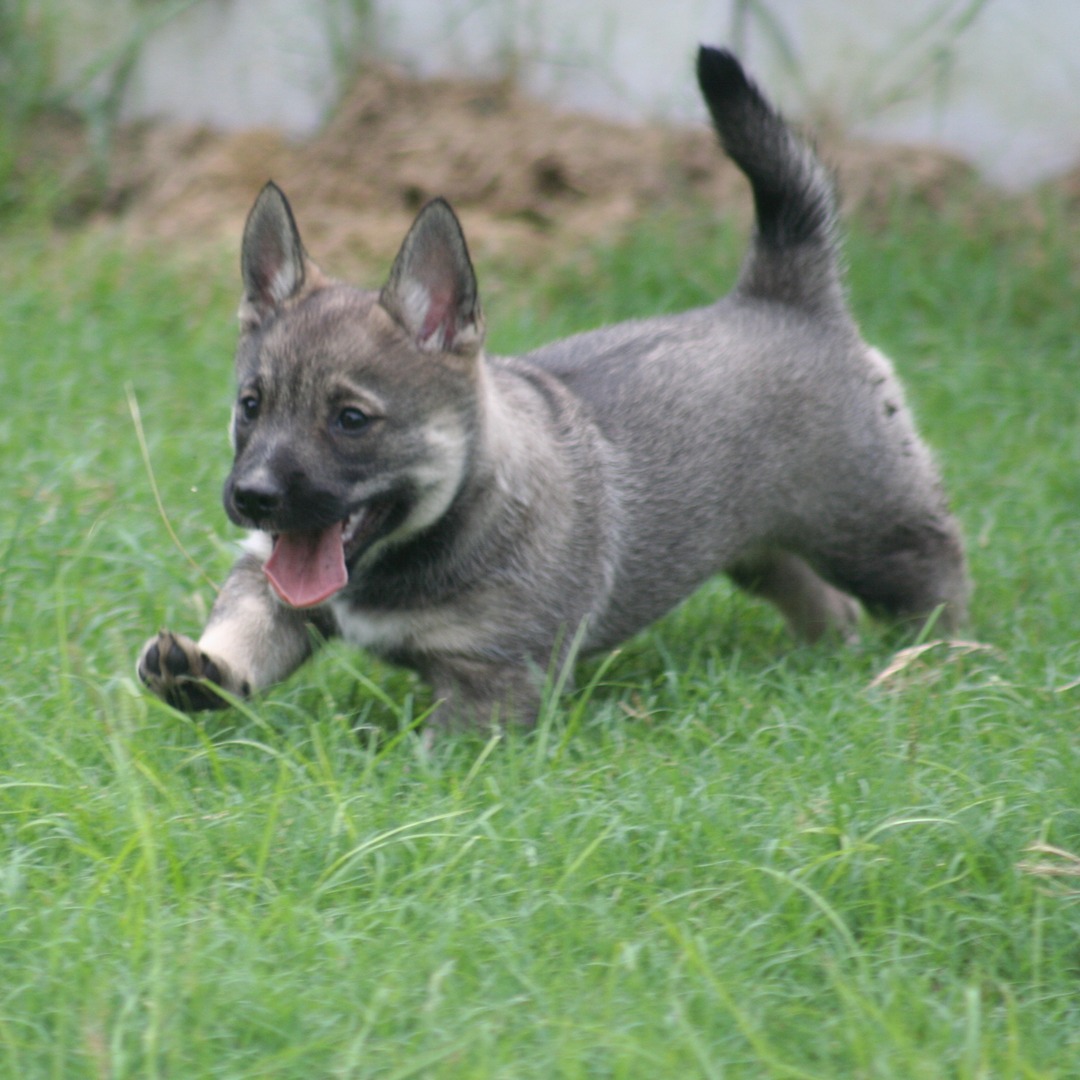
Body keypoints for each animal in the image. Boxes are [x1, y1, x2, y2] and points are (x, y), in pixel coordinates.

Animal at [137, 46, 972, 730]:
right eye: (251, 406)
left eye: (351, 419)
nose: (252, 497)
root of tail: (785, 294)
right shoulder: (269, 577)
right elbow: (248, 626)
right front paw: (202, 669)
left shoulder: (492, 679)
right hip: (754, 546)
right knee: (813, 594)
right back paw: (830, 653)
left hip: (870, 526)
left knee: (934, 572)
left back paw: (941, 664)